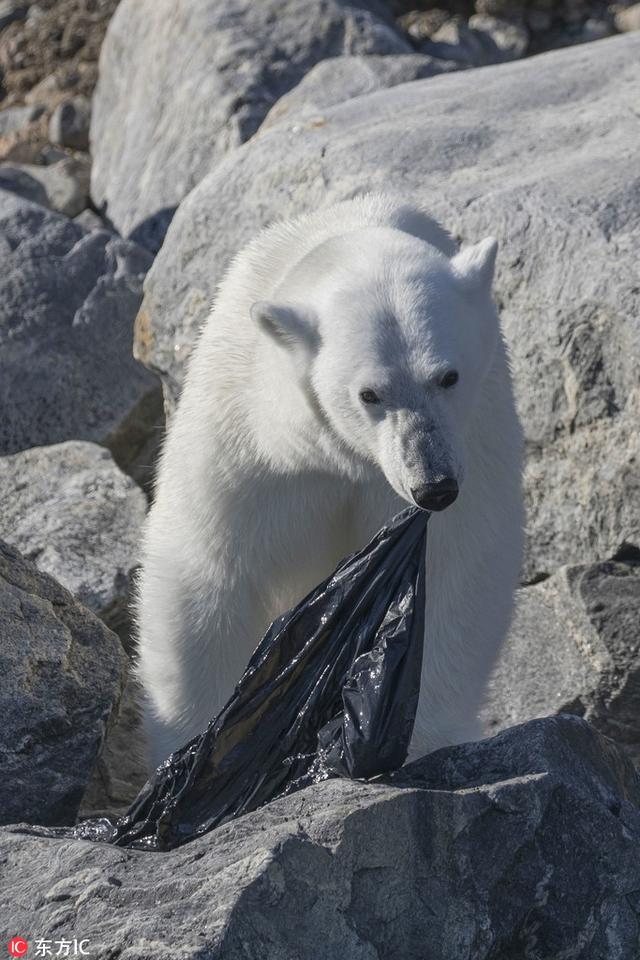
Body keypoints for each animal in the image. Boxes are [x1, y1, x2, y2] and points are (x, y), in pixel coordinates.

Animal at [136, 197, 524, 772]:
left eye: (447, 376)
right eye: (370, 394)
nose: (433, 486)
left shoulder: (477, 437)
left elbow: (456, 569)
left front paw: (417, 736)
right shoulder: (249, 445)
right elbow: (208, 573)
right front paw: (189, 749)